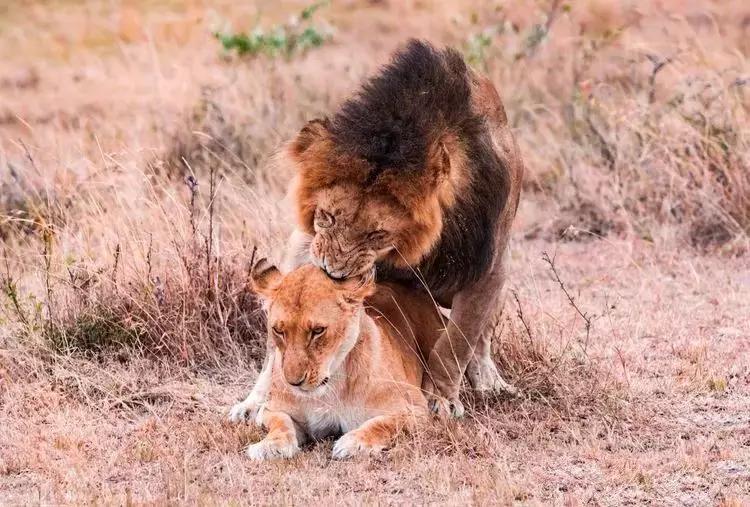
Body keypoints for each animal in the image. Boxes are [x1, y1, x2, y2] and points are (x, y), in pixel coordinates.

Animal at [229, 38, 524, 420]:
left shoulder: (486, 269)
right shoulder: (308, 246)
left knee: (481, 336)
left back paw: (489, 381)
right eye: (327, 217)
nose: (334, 274)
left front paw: (442, 399)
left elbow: (457, 342)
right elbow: (277, 339)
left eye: (377, 234)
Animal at [241, 260, 440, 462]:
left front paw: (353, 443)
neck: (331, 388)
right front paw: (269, 446)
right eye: (278, 330)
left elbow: (386, 423)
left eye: (318, 330)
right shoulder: (273, 410)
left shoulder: (416, 409)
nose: (294, 383)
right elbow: (280, 422)